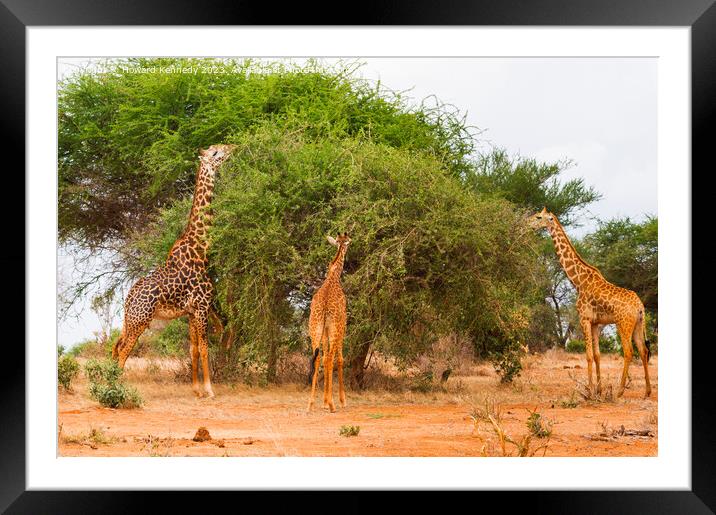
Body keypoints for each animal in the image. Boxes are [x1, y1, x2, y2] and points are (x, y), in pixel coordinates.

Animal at [112, 145, 235, 400]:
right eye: (216, 153)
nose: (233, 147)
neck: (201, 248)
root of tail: (128, 300)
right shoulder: (202, 306)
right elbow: (206, 348)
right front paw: (210, 391)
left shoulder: (190, 311)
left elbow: (194, 349)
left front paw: (196, 390)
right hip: (140, 320)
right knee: (124, 349)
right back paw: (115, 387)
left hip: (130, 320)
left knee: (117, 346)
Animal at [528, 209, 652, 400]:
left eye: (539, 217)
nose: (527, 223)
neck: (578, 281)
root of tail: (640, 306)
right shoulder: (595, 323)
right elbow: (597, 355)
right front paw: (599, 390)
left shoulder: (584, 319)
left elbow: (587, 355)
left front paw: (591, 390)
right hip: (638, 324)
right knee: (643, 350)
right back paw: (647, 391)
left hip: (623, 324)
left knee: (629, 351)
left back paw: (620, 391)